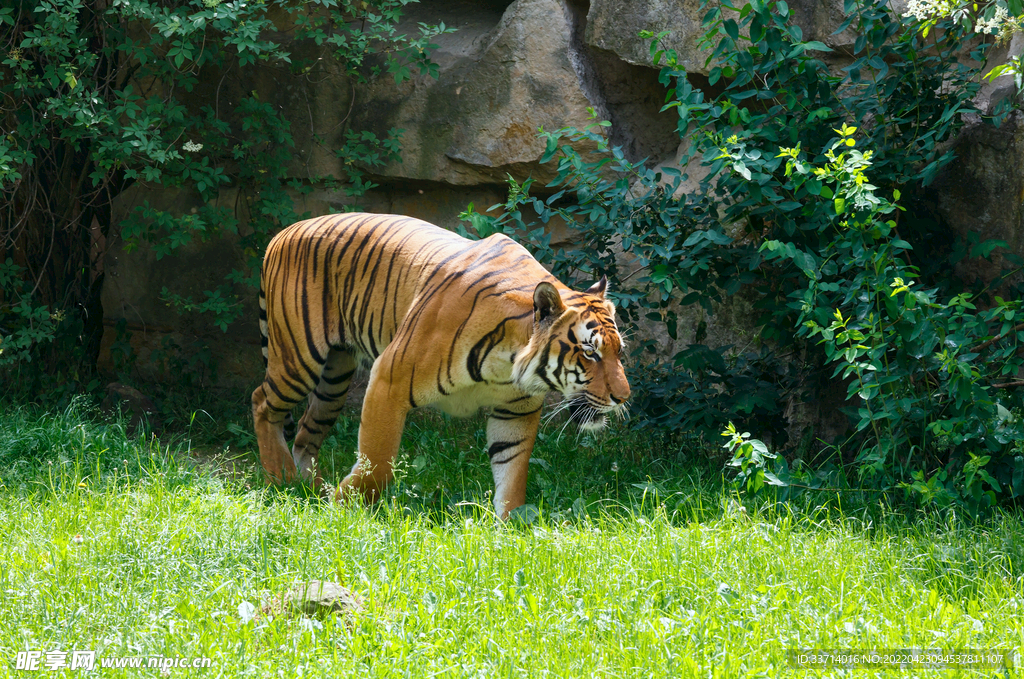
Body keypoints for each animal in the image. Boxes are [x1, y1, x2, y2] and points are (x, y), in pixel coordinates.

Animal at [251, 212, 630, 518]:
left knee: (306, 429)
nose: (623, 398)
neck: (508, 363)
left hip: (335, 377)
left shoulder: (516, 412)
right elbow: (378, 461)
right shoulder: (389, 380)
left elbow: (512, 470)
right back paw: (281, 479)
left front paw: (507, 527)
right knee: (262, 402)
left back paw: (309, 489)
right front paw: (344, 508)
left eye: (618, 352)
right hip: (298, 358)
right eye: (589, 352)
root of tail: (285, 231)